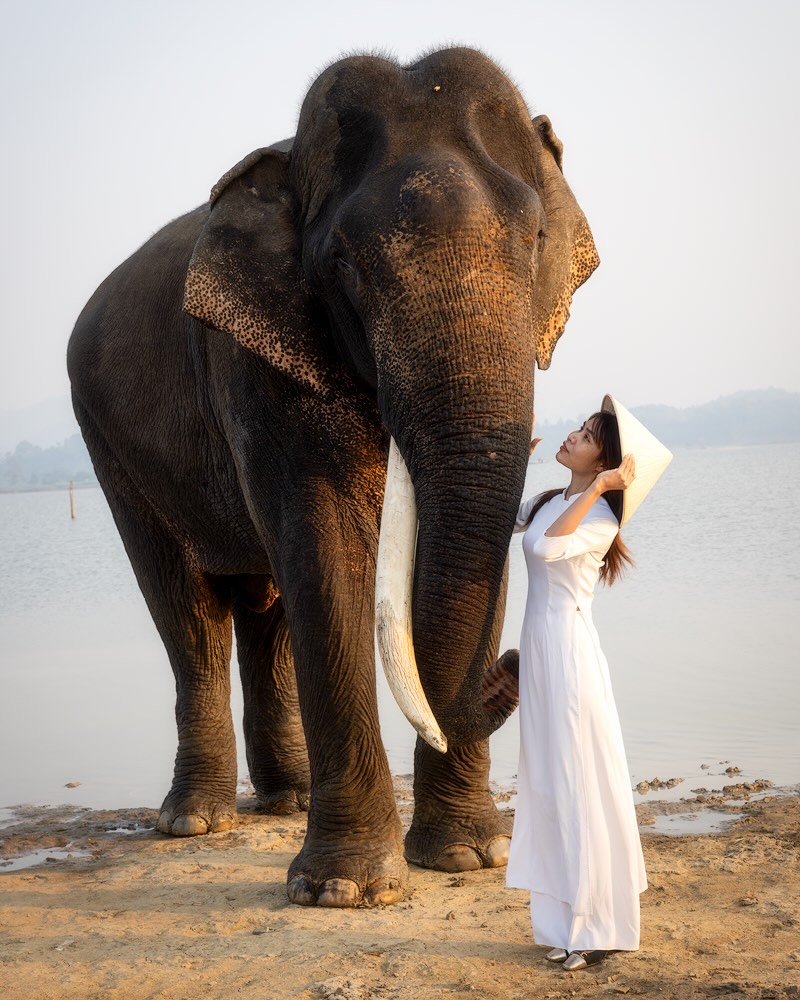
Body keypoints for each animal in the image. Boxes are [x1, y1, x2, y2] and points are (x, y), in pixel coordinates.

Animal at [67, 46, 599, 908]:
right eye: (344, 263)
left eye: (538, 239)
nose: (513, 665)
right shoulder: (254, 360)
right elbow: (322, 547)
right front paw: (343, 891)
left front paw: (468, 858)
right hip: (107, 440)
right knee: (190, 611)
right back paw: (195, 822)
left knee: (265, 611)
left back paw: (287, 800)